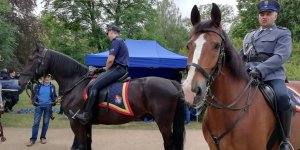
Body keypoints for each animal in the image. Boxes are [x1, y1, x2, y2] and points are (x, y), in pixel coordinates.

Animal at [18, 44, 185, 150]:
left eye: (32, 59)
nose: (20, 81)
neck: (76, 82)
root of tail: (173, 82)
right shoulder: (86, 124)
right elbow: (88, 144)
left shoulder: (76, 123)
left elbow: (83, 146)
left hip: (163, 122)